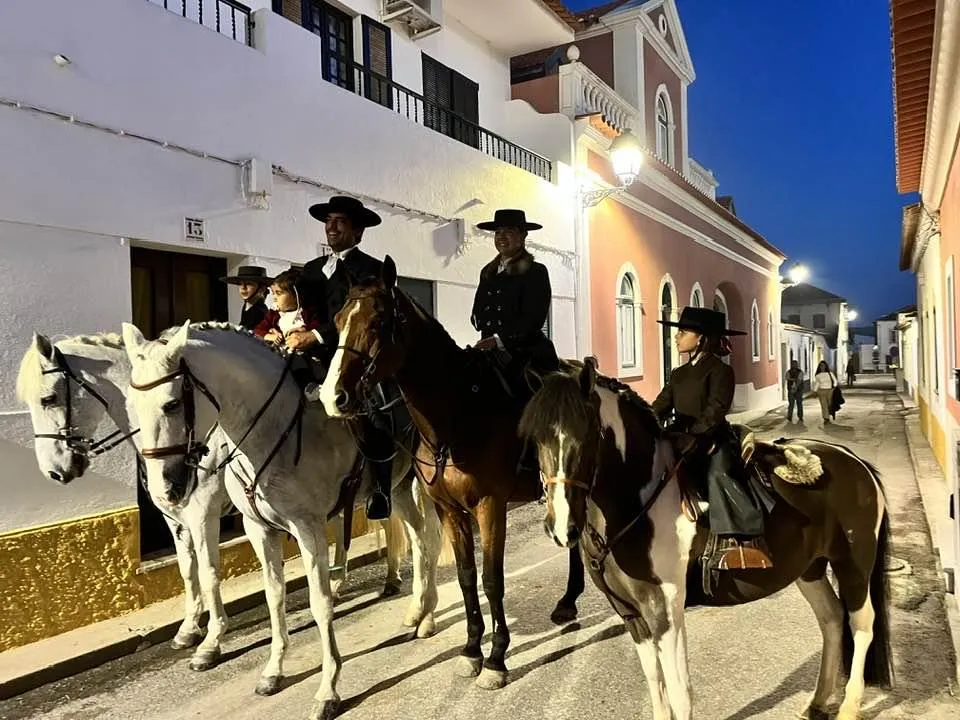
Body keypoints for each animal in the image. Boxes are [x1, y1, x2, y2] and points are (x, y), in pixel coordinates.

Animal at [15, 331, 411, 670]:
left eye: (48, 398)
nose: (54, 471)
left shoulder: (202, 513)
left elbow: (208, 573)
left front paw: (212, 641)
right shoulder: (175, 517)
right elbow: (187, 571)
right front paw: (190, 629)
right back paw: (357, 580)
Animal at [121, 320, 444, 720]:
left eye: (172, 403)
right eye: (132, 404)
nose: (165, 488)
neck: (270, 431)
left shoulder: (307, 528)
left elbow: (320, 602)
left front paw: (327, 690)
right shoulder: (258, 530)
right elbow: (274, 596)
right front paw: (272, 671)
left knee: (429, 542)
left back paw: (427, 617)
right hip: (397, 489)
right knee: (418, 541)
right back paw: (417, 613)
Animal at [317, 256, 586, 691]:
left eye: (378, 321)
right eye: (339, 318)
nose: (332, 396)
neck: (458, 415)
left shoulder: (490, 506)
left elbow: (491, 579)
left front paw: (496, 658)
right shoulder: (449, 510)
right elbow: (465, 577)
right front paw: (472, 650)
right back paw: (567, 601)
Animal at [518, 359, 893, 720]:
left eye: (588, 436)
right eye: (536, 439)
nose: (561, 526)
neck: (637, 502)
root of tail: (856, 463)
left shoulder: (665, 608)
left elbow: (680, 693)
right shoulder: (631, 613)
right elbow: (655, 684)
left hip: (853, 563)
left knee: (862, 624)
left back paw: (848, 707)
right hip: (810, 568)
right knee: (832, 618)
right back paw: (817, 702)